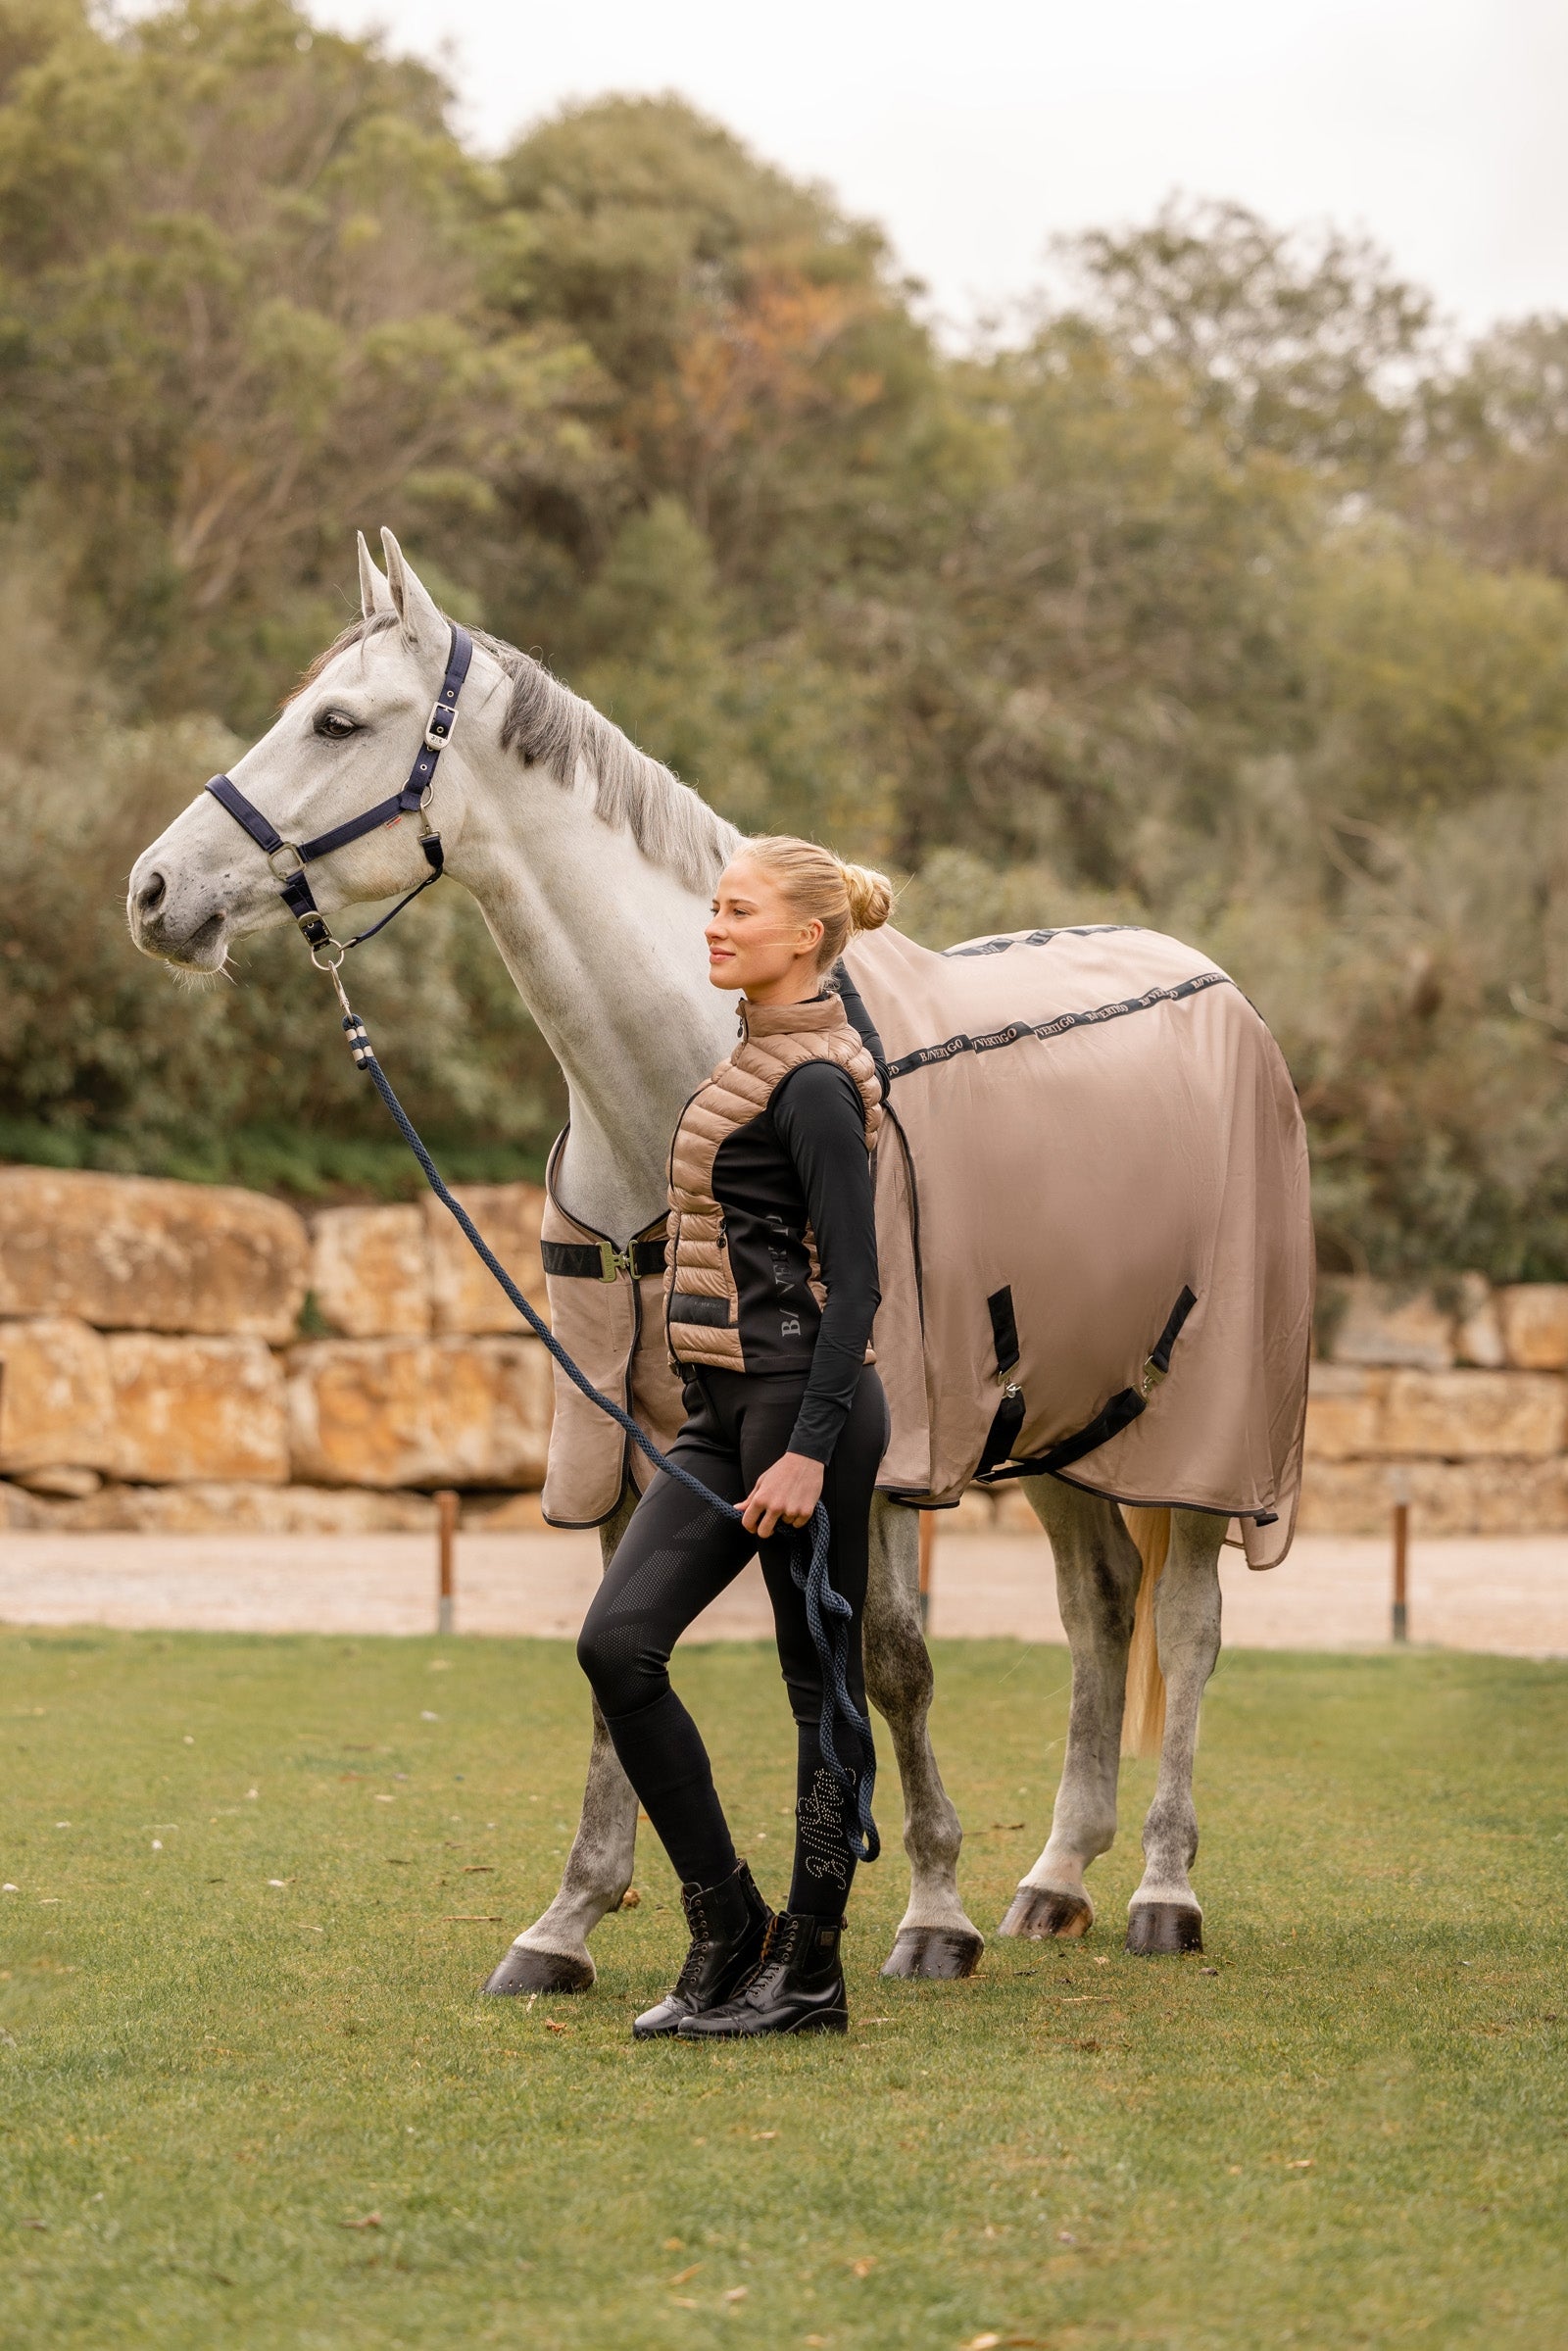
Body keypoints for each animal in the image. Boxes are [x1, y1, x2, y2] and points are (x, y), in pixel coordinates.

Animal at [128, 528, 1311, 1986]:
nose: (153, 892)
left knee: (1187, 1626)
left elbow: (895, 1658)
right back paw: (1055, 1878)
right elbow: (611, 1663)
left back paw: (1158, 1887)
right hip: (1061, 1421)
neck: (679, 1094)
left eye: (338, 722)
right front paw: (566, 1919)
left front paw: (930, 1910)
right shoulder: (623, 1440)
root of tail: (1218, 988)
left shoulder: (881, 1449)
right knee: (1099, 1608)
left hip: (1199, 1434)